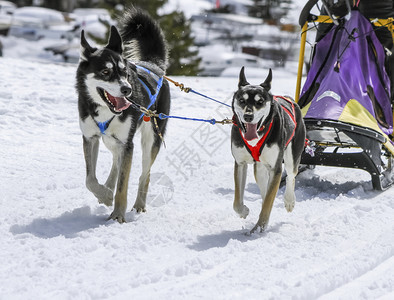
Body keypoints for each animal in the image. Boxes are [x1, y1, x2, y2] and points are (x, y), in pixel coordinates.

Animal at [75, 8, 169, 221]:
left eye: (125, 72)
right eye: (105, 72)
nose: (127, 90)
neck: (104, 111)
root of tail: (154, 65)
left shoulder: (127, 144)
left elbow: (122, 186)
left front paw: (118, 215)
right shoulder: (90, 138)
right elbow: (89, 179)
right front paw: (105, 194)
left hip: (150, 139)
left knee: (144, 174)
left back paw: (139, 204)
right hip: (111, 140)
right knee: (116, 163)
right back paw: (108, 187)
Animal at [232, 68, 306, 234]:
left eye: (260, 102)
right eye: (242, 101)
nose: (248, 116)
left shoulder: (276, 168)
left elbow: (268, 203)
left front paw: (259, 227)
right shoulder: (240, 163)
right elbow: (237, 202)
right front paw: (244, 211)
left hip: (291, 157)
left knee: (291, 176)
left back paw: (289, 200)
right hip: (259, 169)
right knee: (265, 189)